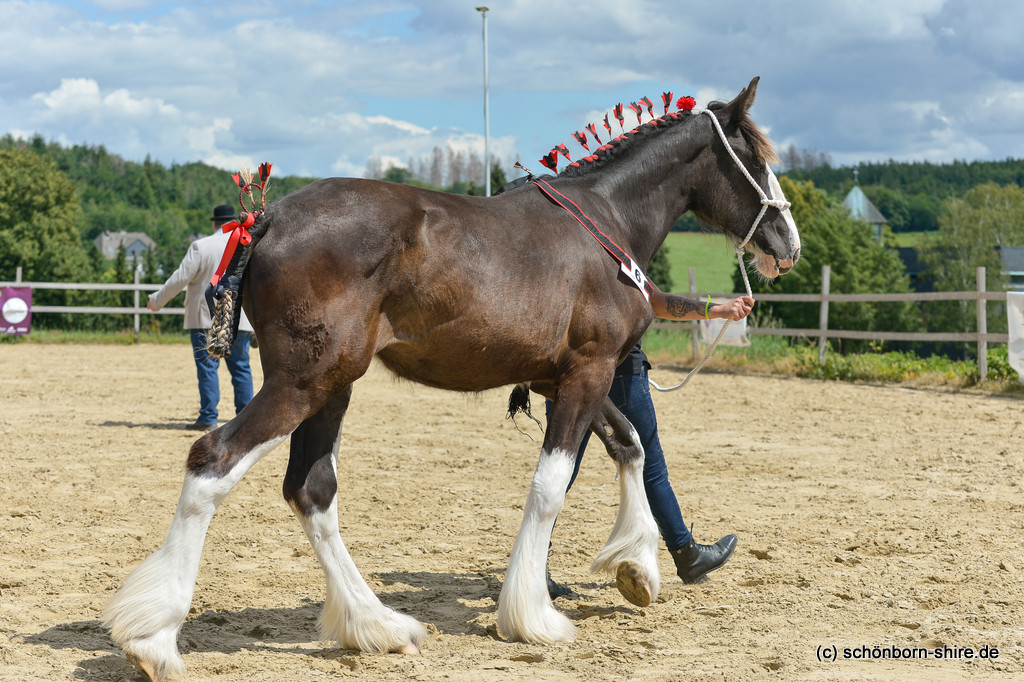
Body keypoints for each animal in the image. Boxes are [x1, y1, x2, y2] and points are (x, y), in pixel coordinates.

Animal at [101, 75, 798, 679]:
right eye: (757, 158)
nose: (787, 243)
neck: (606, 224)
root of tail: (266, 220)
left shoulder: (564, 378)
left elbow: (629, 445)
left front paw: (637, 568)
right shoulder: (589, 371)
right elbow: (553, 486)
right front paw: (534, 617)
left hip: (332, 387)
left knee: (311, 489)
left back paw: (377, 626)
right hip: (305, 382)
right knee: (213, 460)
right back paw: (154, 641)